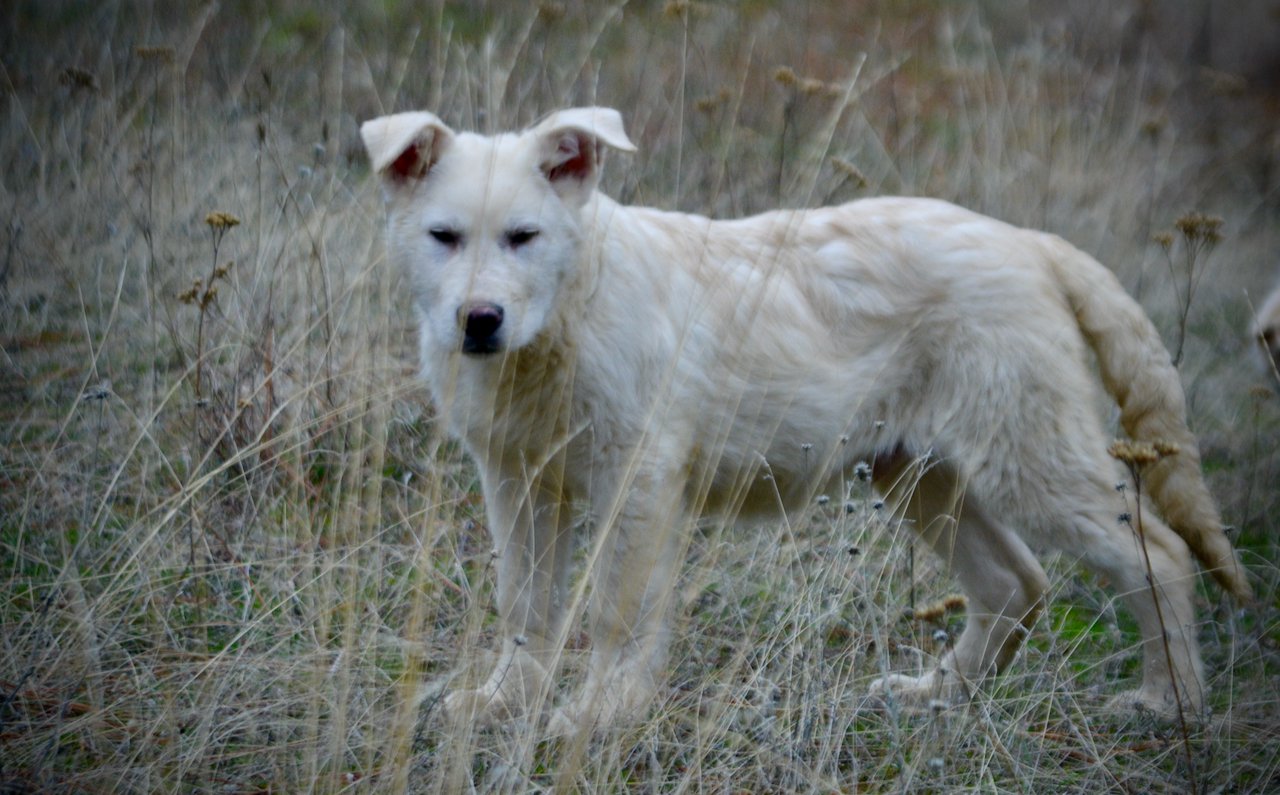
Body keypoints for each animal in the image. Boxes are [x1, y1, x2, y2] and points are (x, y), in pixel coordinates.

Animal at [360, 105, 1249, 732]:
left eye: (524, 237)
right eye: (443, 237)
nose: (480, 321)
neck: (558, 325)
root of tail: (1031, 241)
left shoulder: (637, 480)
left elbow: (616, 610)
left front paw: (598, 714)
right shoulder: (519, 482)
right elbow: (527, 605)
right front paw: (503, 703)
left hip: (1030, 460)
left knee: (1157, 552)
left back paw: (1169, 704)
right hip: (921, 472)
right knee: (1013, 582)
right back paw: (935, 695)